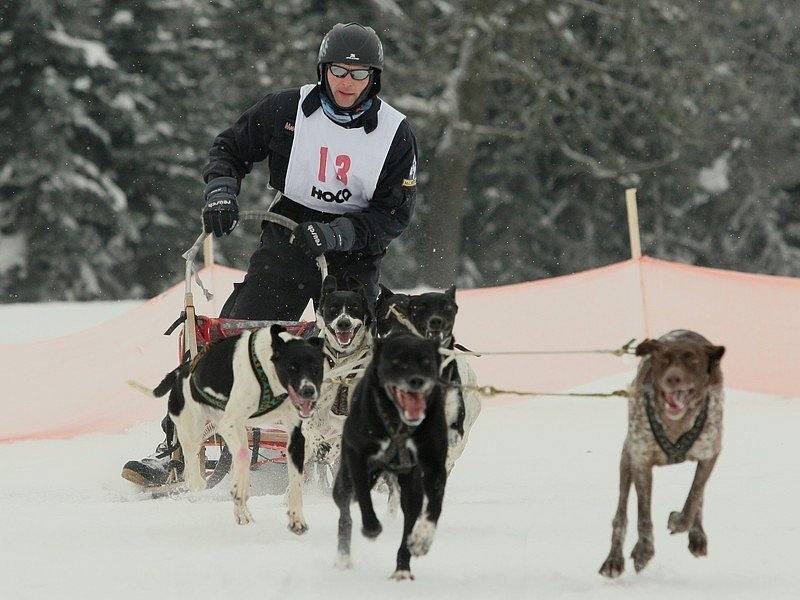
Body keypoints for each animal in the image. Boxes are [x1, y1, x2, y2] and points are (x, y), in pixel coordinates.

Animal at [156, 324, 324, 528]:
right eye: (292, 367)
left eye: (316, 368)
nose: (308, 391)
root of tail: (183, 369)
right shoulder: (228, 424)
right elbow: (243, 458)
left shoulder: (296, 436)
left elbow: (295, 480)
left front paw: (296, 516)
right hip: (193, 431)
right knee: (192, 461)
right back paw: (199, 482)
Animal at [330, 332, 446, 580]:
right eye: (397, 362)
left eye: (426, 361)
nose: (416, 380)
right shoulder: (356, 455)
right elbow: (364, 496)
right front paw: (371, 527)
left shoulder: (434, 466)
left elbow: (434, 506)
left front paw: (423, 539)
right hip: (344, 480)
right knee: (345, 512)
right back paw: (343, 558)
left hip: (410, 487)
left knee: (410, 516)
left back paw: (402, 568)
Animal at [600, 330, 724, 580]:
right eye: (664, 360)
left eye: (692, 360)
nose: (673, 378)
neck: (675, 424)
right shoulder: (641, 459)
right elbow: (643, 514)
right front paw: (643, 550)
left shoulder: (710, 453)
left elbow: (694, 497)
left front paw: (679, 522)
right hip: (626, 458)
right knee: (621, 515)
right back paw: (613, 559)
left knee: (699, 497)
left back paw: (697, 534)